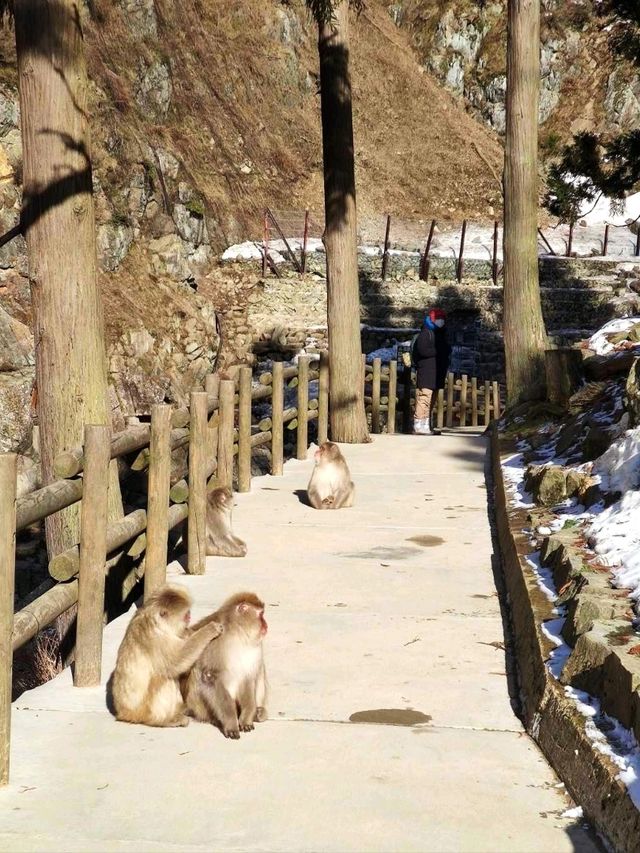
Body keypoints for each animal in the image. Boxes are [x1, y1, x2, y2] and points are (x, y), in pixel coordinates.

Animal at [112, 584, 225, 728]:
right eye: (185, 614)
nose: (189, 616)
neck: (156, 622)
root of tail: (124, 714)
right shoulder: (156, 638)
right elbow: (176, 661)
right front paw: (209, 630)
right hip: (143, 712)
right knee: (165, 676)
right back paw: (164, 720)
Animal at [182, 592, 268, 740]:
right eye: (261, 615)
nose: (266, 625)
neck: (238, 635)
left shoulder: (255, 650)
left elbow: (248, 678)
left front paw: (246, 718)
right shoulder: (215, 644)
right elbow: (210, 677)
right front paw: (231, 724)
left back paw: (258, 713)